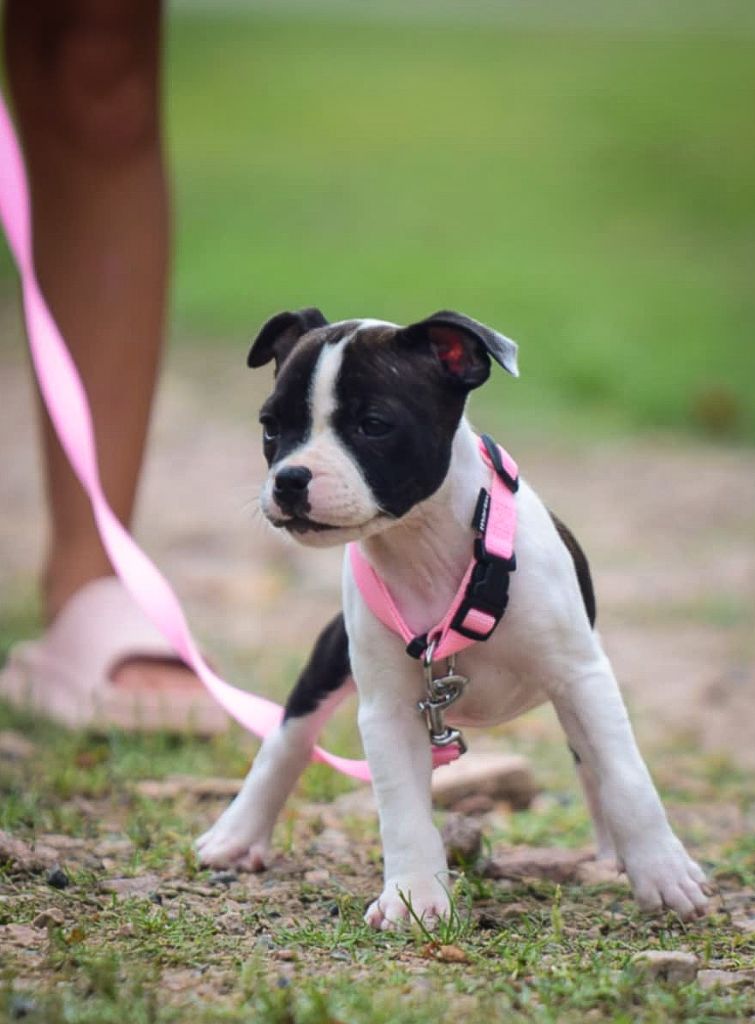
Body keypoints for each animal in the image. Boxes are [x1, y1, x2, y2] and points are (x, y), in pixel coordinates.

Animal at [197, 308, 708, 929]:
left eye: (374, 424)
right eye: (271, 427)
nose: (290, 478)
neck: (425, 544)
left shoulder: (582, 676)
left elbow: (628, 778)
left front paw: (664, 873)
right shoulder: (390, 711)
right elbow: (402, 811)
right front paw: (413, 896)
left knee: (594, 764)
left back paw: (618, 853)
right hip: (331, 656)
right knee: (288, 739)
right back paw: (236, 834)